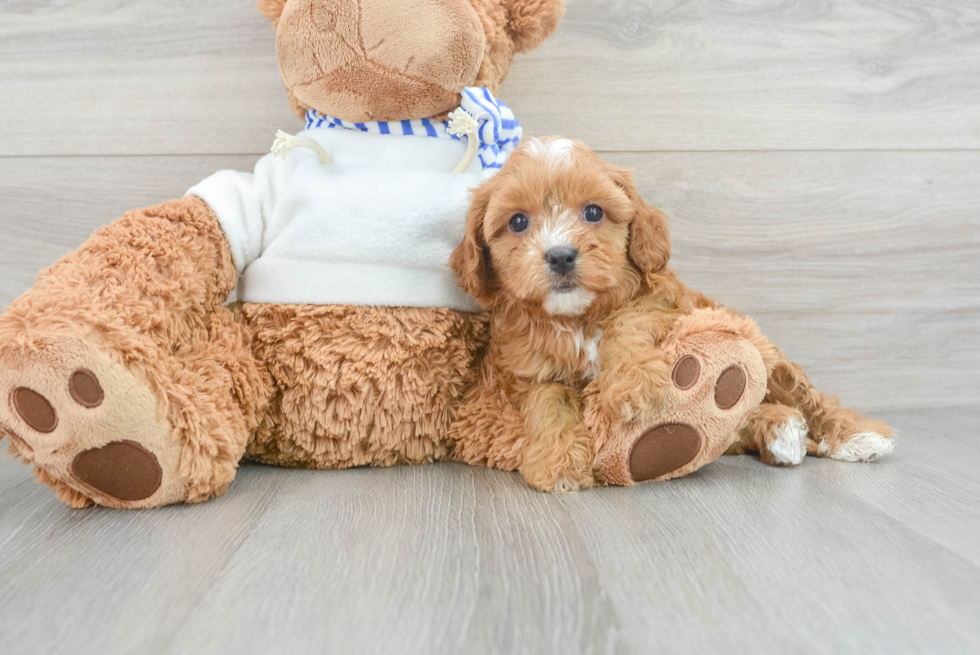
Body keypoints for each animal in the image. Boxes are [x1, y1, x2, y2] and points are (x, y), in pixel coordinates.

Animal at [452, 135, 896, 492]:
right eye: (518, 221)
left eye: (593, 212)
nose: (560, 255)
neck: (577, 318)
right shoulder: (529, 369)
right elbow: (549, 404)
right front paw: (559, 464)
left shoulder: (667, 305)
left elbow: (629, 321)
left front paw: (627, 383)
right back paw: (779, 430)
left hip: (769, 355)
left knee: (807, 395)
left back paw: (855, 435)